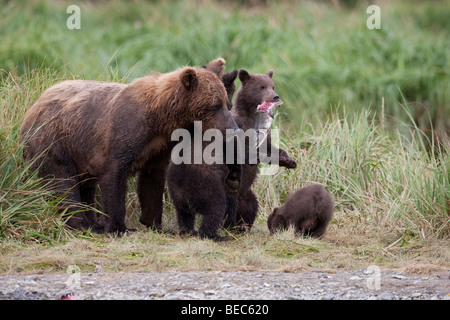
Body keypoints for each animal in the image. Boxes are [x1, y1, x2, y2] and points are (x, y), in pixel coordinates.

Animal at [21, 65, 237, 235]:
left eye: (228, 103)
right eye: (215, 104)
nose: (233, 128)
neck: (162, 118)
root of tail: (32, 107)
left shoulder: (159, 147)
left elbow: (152, 182)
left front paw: (154, 223)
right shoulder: (124, 132)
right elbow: (114, 175)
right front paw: (119, 227)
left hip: (79, 152)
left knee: (86, 186)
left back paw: (93, 223)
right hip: (54, 140)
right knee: (63, 181)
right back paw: (81, 223)